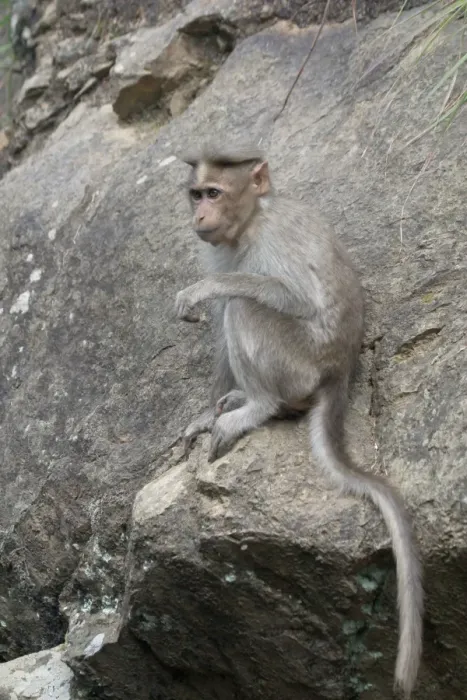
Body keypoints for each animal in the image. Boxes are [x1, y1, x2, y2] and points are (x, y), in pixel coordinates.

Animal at [175, 143, 423, 698]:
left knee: (247, 307)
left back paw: (257, 407)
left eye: (214, 193)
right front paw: (203, 411)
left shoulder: (274, 239)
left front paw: (204, 288)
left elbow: (284, 296)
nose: (198, 216)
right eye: (197, 194)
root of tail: (337, 372)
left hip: (297, 364)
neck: (249, 223)